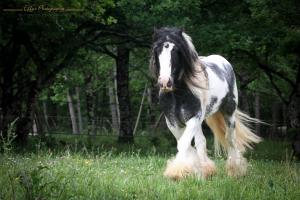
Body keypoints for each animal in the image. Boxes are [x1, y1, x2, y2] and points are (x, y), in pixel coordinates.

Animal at [149, 27, 262, 180]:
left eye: (176, 51)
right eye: (157, 50)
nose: (165, 83)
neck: (178, 94)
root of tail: (223, 61)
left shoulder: (193, 118)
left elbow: (184, 144)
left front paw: (178, 172)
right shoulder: (172, 122)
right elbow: (186, 144)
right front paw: (194, 170)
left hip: (229, 113)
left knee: (230, 139)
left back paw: (235, 171)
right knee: (201, 141)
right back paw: (208, 170)